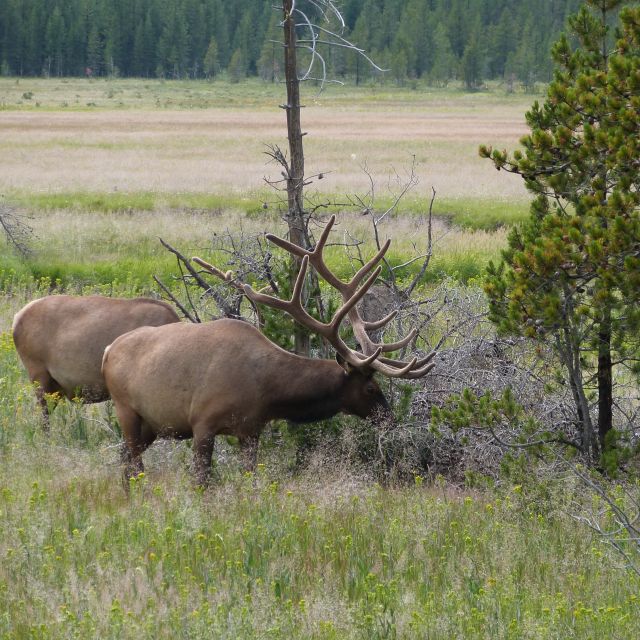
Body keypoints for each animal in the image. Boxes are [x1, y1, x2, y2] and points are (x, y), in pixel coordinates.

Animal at [104, 216, 436, 484]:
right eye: (370, 388)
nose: (390, 419)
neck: (266, 390)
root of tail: (108, 350)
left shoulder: (251, 430)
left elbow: (250, 479)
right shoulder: (202, 422)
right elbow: (201, 482)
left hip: (151, 424)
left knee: (125, 461)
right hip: (126, 409)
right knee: (133, 463)